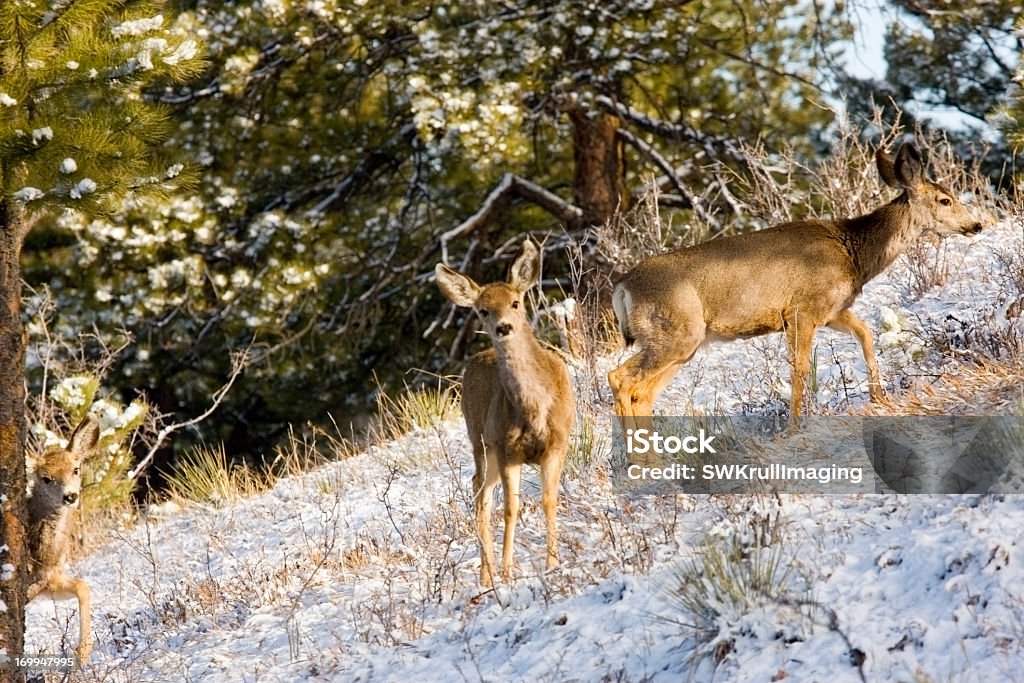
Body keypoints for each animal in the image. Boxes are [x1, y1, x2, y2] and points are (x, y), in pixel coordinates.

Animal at [27, 413, 97, 659]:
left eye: (76, 469)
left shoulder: (50, 579)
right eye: (46, 478)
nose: (70, 496)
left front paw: (82, 653)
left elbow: (82, 586)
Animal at [434, 240, 573, 589]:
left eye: (515, 302)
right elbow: (512, 508)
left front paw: (553, 564)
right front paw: (509, 571)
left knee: (481, 489)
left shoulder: (557, 444)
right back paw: (488, 576)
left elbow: (548, 499)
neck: (534, 410)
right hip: (480, 441)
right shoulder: (508, 449)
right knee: (481, 494)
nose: (503, 327)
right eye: (483, 310)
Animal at [606, 140, 983, 432]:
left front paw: (880, 397)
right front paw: (795, 427)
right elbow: (800, 369)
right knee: (621, 378)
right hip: (675, 332)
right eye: (945, 200)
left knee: (642, 392)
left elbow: (865, 332)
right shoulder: (802, 310)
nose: (977, 224)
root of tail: (623, 287)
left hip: (683, 343)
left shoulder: (832, 310)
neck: (853, 252)